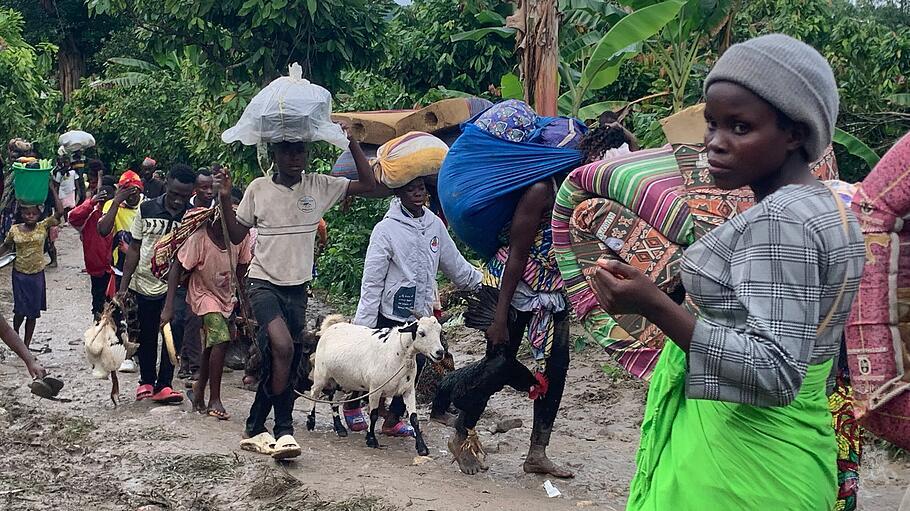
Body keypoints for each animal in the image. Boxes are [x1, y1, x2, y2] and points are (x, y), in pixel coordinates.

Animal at [308, 316, 448, 456]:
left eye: (439, 331)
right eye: (421, 333)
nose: (440, 352)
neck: (397, 352)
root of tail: (331, 327)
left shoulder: (408, 390)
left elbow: (414, 418)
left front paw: (422, 447)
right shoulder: (375, 389)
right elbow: (374, 415)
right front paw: (371, 440)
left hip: (342, 379)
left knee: (334, 400)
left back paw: (340, 428)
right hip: (321, 373)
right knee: (314, 393)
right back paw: (311, 421)